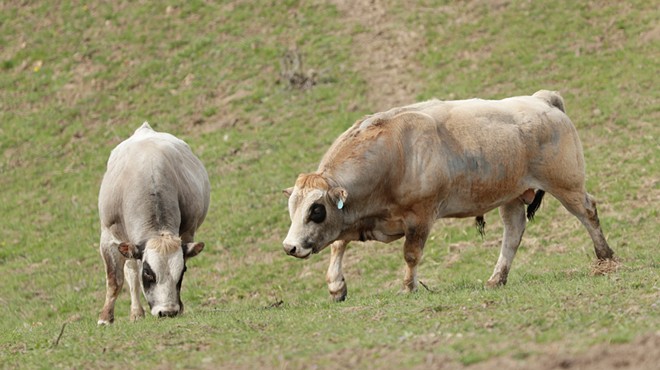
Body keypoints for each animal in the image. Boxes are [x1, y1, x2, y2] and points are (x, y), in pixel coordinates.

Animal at [97, 122, 209, 324]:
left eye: (183, 271)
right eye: (148, 272)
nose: (168, 312)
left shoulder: (187, 233)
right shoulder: (108, 237)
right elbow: (115, 280)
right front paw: (105, 318)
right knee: (131, 271)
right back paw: (136, 312)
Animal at [282, 89, 612, 300]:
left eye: (316, 210)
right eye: (292, 208)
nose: (289, 246)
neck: (394, 154)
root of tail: (542, 99)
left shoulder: (420, 216)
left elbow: (411, 254)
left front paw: (408, 287)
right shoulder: (355, 219)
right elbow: (338, 244)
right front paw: (336, 286)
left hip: (566, 184)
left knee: (588, 211)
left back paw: (605, 257)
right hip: (512, 196)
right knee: (513, 233)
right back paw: (496, 278)